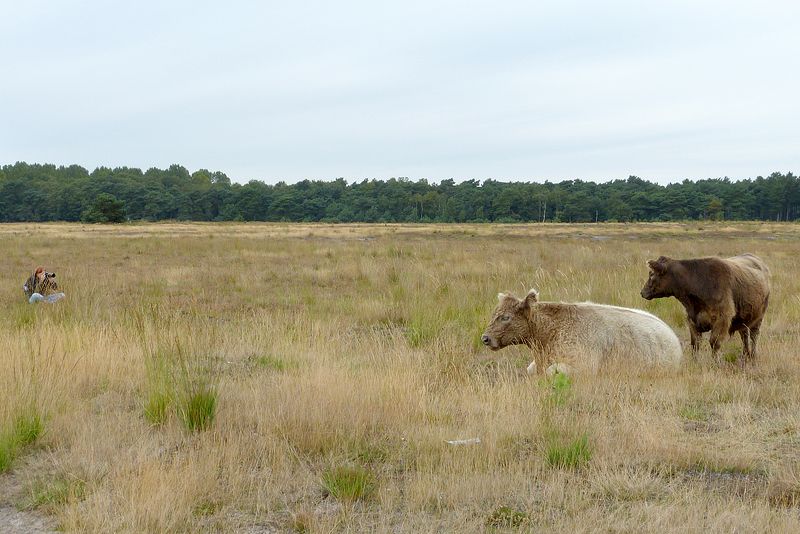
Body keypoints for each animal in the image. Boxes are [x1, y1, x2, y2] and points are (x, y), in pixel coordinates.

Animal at [636, 254, 768, 364]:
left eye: (651, 274)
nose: (642, 292)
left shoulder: (722, 319)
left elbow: (714, 342)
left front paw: (716, 363)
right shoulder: (692, 320)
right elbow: (695, 344)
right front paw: (695, 362)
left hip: (759, 317)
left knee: (754, 336)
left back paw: (753, 356)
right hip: (745, 319)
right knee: (744, 335)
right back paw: (746, 355)